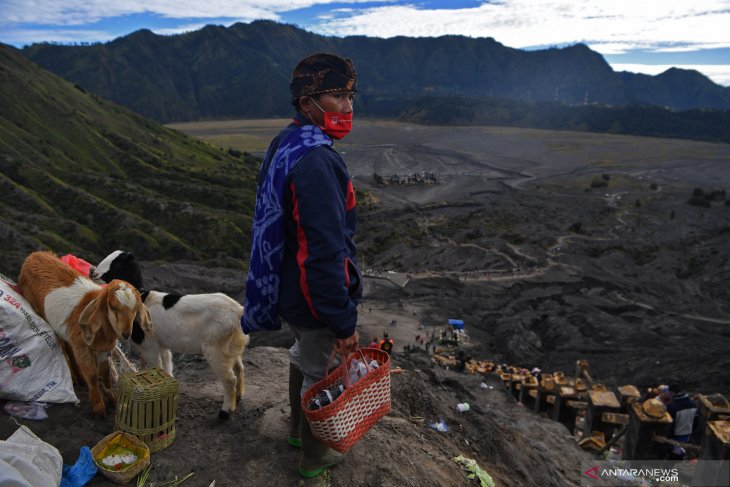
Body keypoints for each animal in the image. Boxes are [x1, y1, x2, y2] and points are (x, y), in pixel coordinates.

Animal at [17, 252, 151, 420]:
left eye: (135, 310)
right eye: (113, 307)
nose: (126, 333)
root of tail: (34, 255)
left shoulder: (103, 350)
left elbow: (105, 373)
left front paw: (112, 399)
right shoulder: (83, 347)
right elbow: (93, 375)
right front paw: (98, 408)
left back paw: (80, 378)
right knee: (65, 347)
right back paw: (77, 377)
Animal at [94, 252, 249, 420]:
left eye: (116, 263)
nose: (93, 273)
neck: (141, 300)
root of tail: (238, 310)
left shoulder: (149, 345)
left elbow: (155, 367)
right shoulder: (162, 345)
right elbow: (166, 368)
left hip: (215, 347)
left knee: (229, 379)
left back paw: (225, 412)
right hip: (231, 345)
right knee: (239, 368)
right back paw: (238, 398)